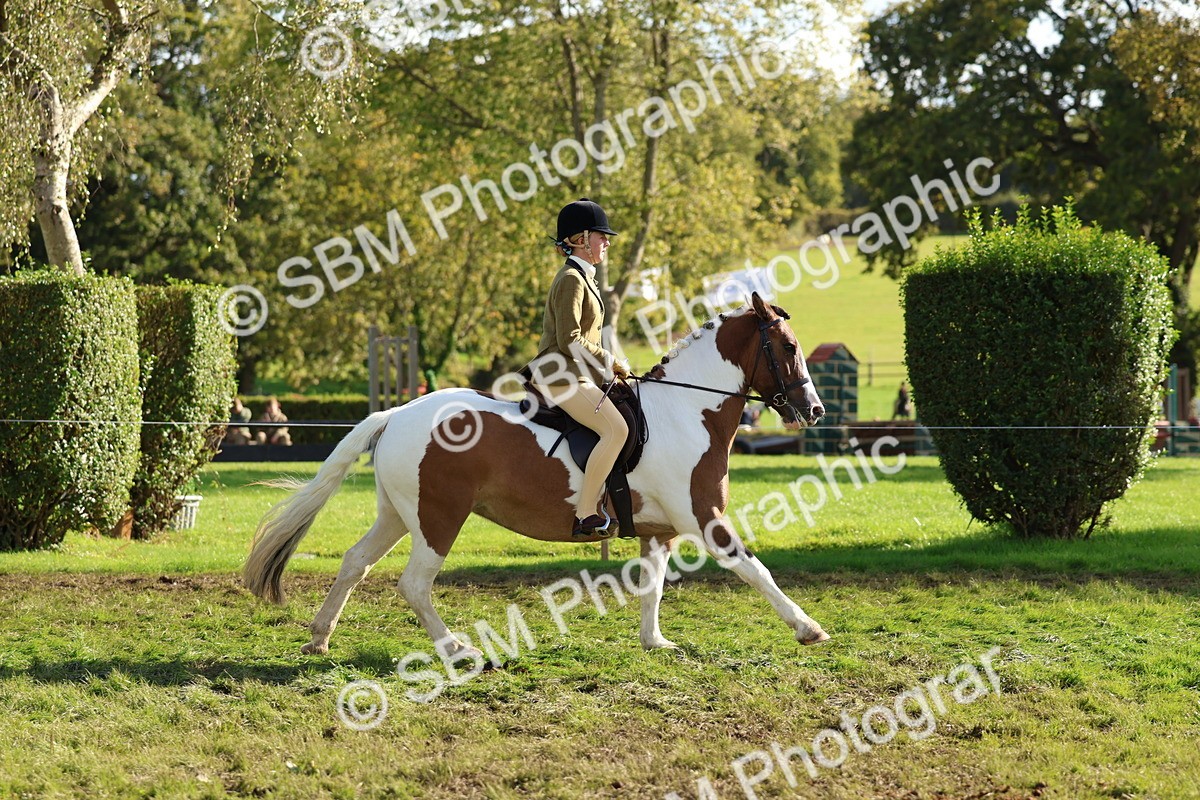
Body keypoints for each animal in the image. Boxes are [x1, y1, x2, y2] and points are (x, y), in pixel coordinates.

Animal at [244, 292, 831, 658]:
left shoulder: (660, 529)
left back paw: (319, 637)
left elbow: (652, 585)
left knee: (355, 563)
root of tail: (398, 412)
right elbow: (755, 569)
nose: (814, 410)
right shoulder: (704, 518)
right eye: (787, 347)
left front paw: (654, 643)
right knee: (414, 584)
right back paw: (457, 648)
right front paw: (808, 628)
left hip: (398, 513)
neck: (687, 410)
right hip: (439, 518)